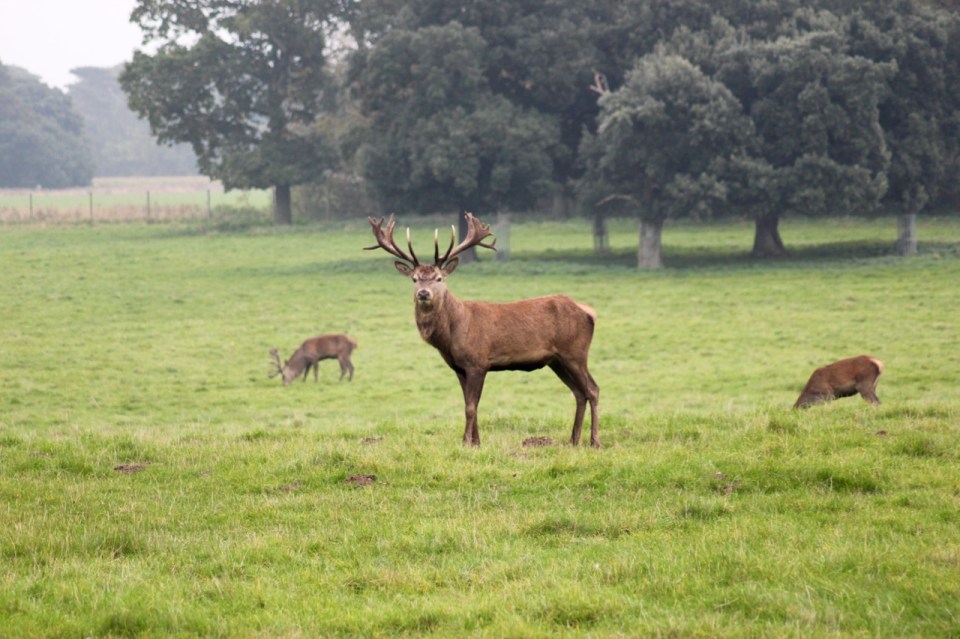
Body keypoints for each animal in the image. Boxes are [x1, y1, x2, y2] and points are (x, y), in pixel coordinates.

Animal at [365, 212, 600, 447]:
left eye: (439, 278)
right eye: (414, 279)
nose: (423, 293)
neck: (452, 335)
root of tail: (589, 312)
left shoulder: (478, 362)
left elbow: (471, 407)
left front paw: (465, 442)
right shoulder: (459, 367)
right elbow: (470, 404)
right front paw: (476, 443)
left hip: (575, 352)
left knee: (593, 389)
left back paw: (594, 442)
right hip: (556, 360)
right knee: (579, 393)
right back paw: (573, 440)